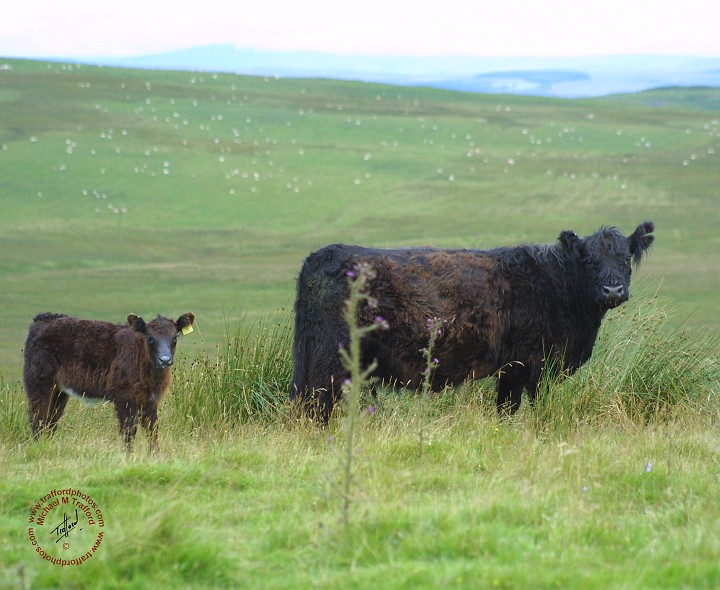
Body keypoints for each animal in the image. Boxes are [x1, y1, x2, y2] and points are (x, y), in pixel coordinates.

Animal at [23, 311, 195, 451]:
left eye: (175, 337)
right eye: (150, 338)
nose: (165, 360)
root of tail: (44, 318)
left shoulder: (150, 400)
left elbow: (152, 430)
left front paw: (155, 456)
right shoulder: (124, 399)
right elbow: (128, 431)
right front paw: (128, 457)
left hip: (59, 391)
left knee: (51, 420)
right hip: (39, 383)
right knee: (37, 418)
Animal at [291, 222, 654, 422]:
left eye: (625, 259)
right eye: (589, 260)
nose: (612, 289)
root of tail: (322, 255)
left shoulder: (515, 369)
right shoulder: (531, 364)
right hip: (329, 359)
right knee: (317, 403)